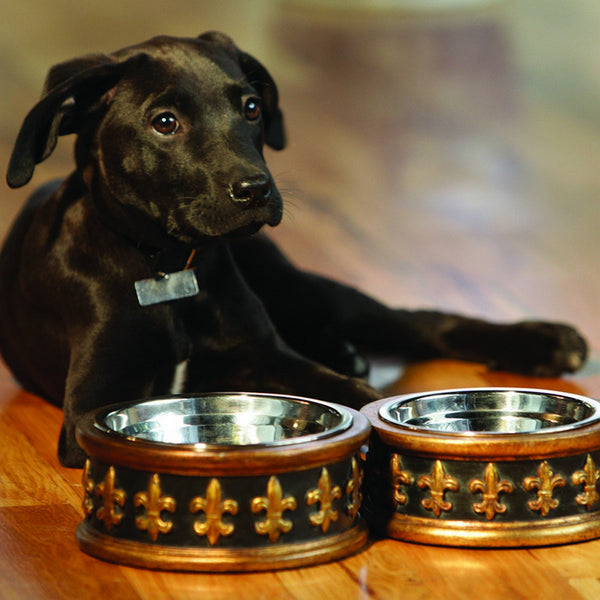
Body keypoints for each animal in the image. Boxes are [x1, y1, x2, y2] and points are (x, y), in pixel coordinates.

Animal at [0, 30, 584, 466]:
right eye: (164, 122)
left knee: (417, 322)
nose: (256, 190)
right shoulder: (91, 409)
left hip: (299, 285)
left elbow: (363, 399)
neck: (165, 267)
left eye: (252, 108)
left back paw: (543, 341)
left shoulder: (265, 357)